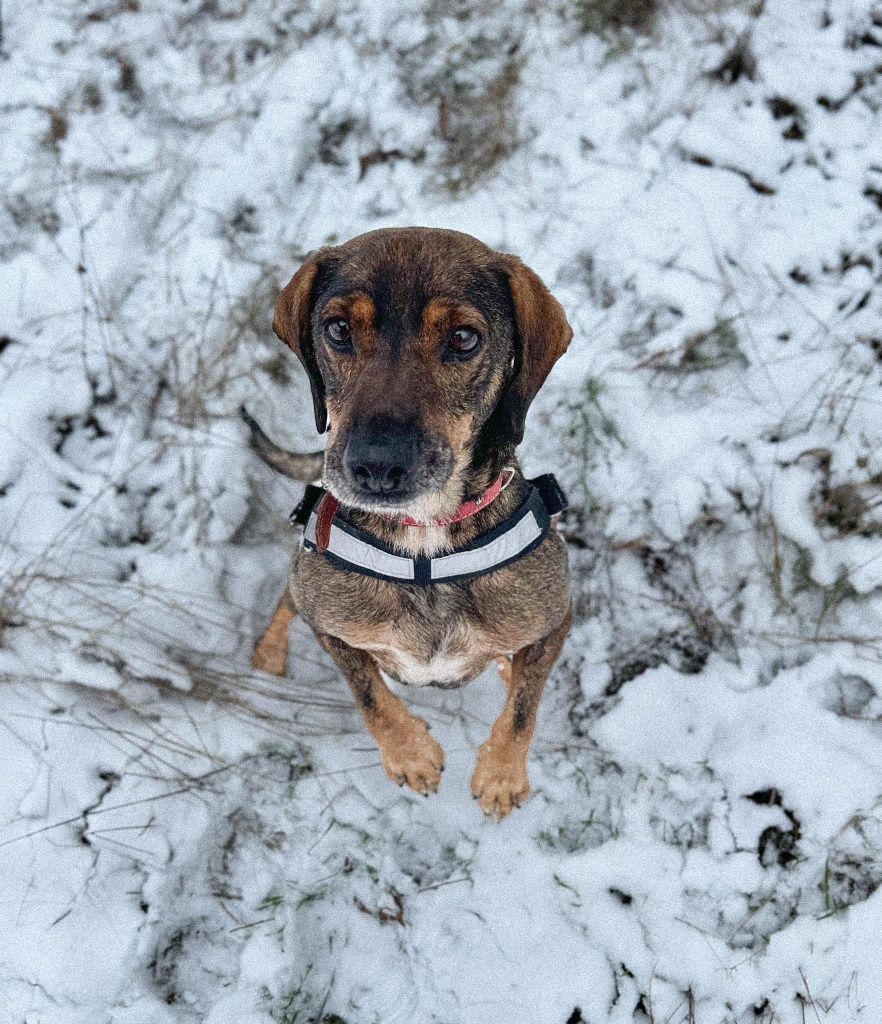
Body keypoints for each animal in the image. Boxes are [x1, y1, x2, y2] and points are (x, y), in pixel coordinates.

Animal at [245, 228, 569, 819]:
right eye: (339, 329)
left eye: (464, 338)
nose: (377, 466)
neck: (424, 543)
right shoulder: (333, 629)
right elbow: (370, 694)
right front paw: (410, 755)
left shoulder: (556, 621)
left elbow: (523, 708)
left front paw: (501, 775)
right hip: (305, 578)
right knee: (286, 598)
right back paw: (268, 654)